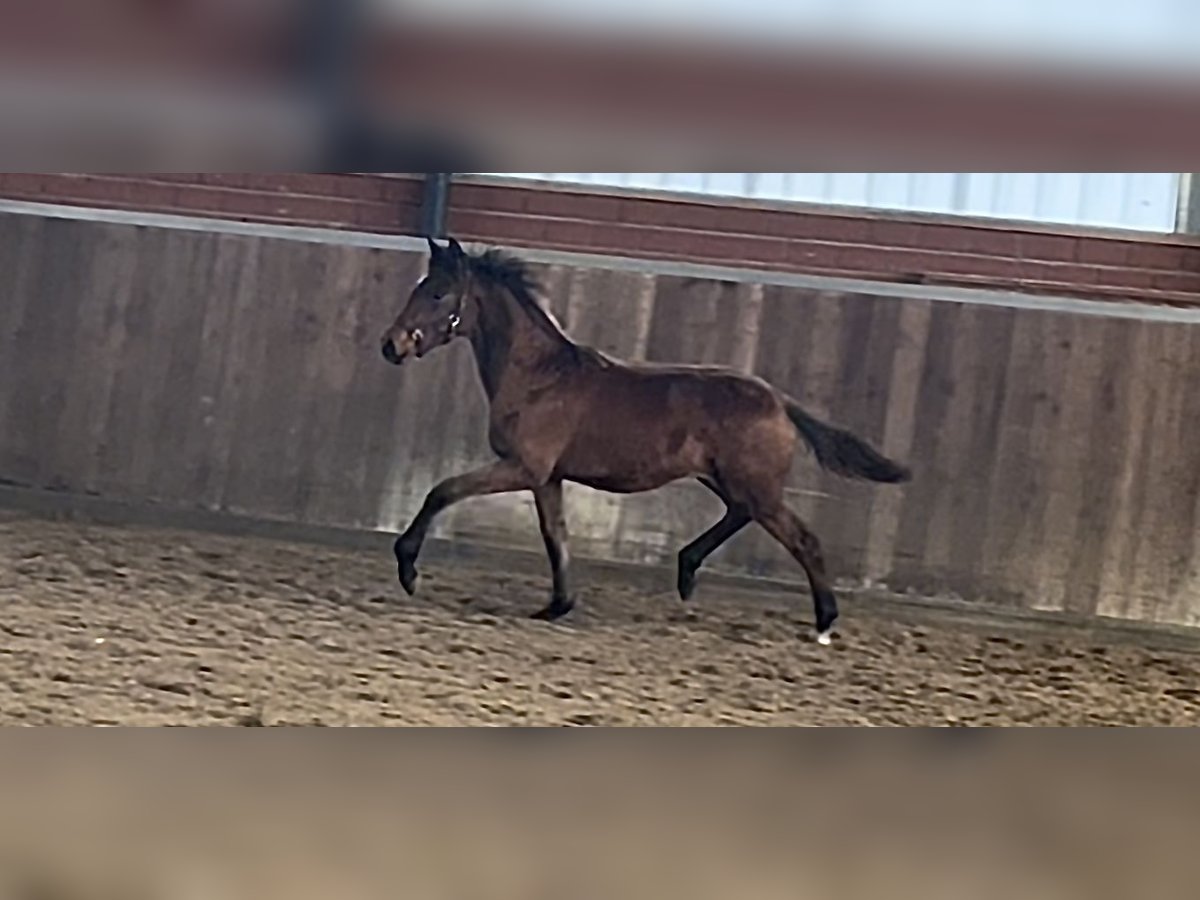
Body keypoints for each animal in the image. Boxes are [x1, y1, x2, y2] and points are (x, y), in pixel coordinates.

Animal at [381, 237, 911, 644]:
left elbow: (442, 491)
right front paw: (557, 605)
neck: (539, 377)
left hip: (753, 484)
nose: (392, 345)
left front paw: (408, 570)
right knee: (741, 514)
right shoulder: (547, 478)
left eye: (438, 293)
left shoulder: (522, 467)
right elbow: (556, 536)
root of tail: (779, 400)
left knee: (802, 538)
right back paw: (687, 571)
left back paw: (824, 623)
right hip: (726, 479)